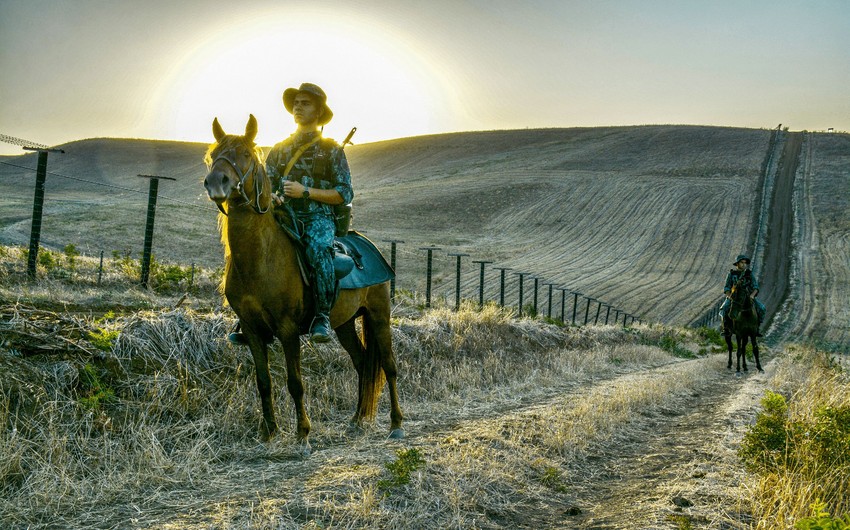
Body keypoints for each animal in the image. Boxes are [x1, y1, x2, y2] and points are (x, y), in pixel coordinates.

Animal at [205, 115, 404, 450]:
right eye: (213, 154)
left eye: (245, 154)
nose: (214, 182)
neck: (260, 258)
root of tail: (367, 245)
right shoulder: (252, 330)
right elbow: (263, 382)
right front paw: (269, 432)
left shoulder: (287, 330)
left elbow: (295, 382)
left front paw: (302, 435)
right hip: (344, 323)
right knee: (362, 363)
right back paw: (357, 419)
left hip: (379, 314)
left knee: (388, 366)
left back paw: (396, 424)